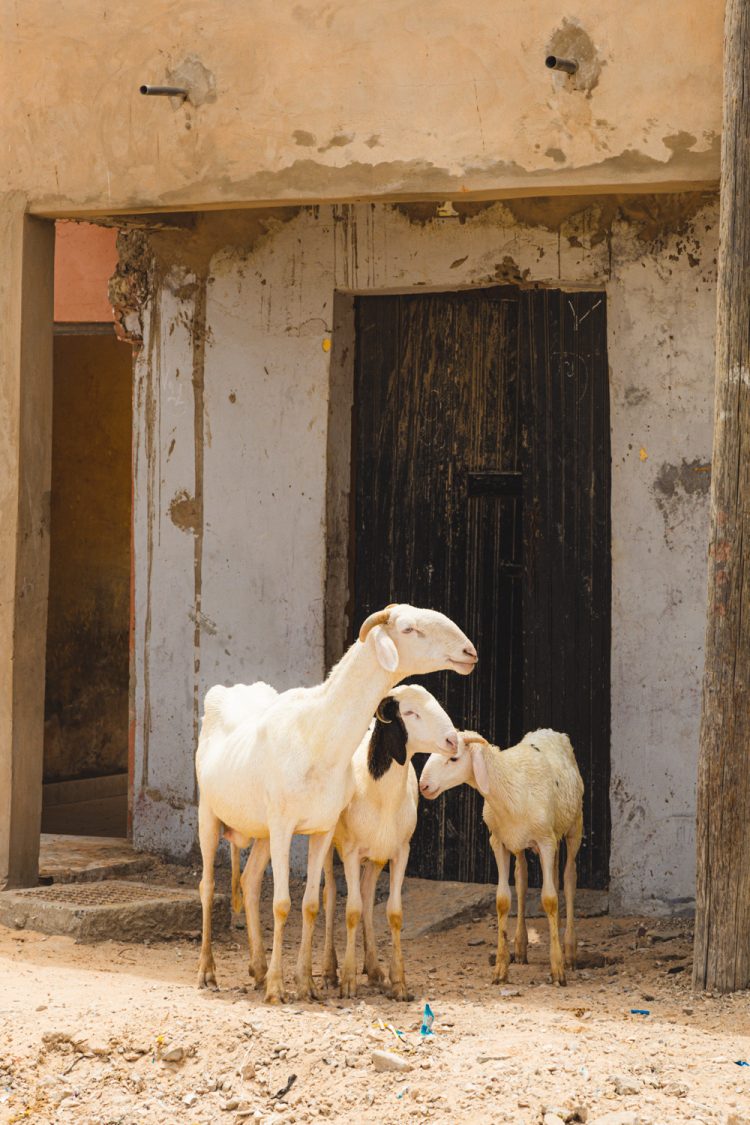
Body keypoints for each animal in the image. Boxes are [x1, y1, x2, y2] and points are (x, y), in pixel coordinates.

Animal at [319, 684, 458, 1003]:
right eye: (409, 712)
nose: (452, 740)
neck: (378, 792)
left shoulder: (400, 851)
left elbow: (392, 913)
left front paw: (399, 983)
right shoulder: (351, 851)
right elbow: (351, 910)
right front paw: (347, 981)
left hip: (377, 854)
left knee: (368, 896)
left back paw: (373, 970)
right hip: (329, 842)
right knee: (330, 894)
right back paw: (330, 970)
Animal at [420, 729, 584, 985]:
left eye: (454, 759)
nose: (423, 785)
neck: (508, 786)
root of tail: (550, 731)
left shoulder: (546, 841)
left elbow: (549, 899)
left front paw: (557, 969)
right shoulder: (498, 842)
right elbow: (503, 900)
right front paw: (500, 969)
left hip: (574, 826)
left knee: (568, 880)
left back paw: (569, 951)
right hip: (521, 843)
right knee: (523, 880)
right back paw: (522, 947)